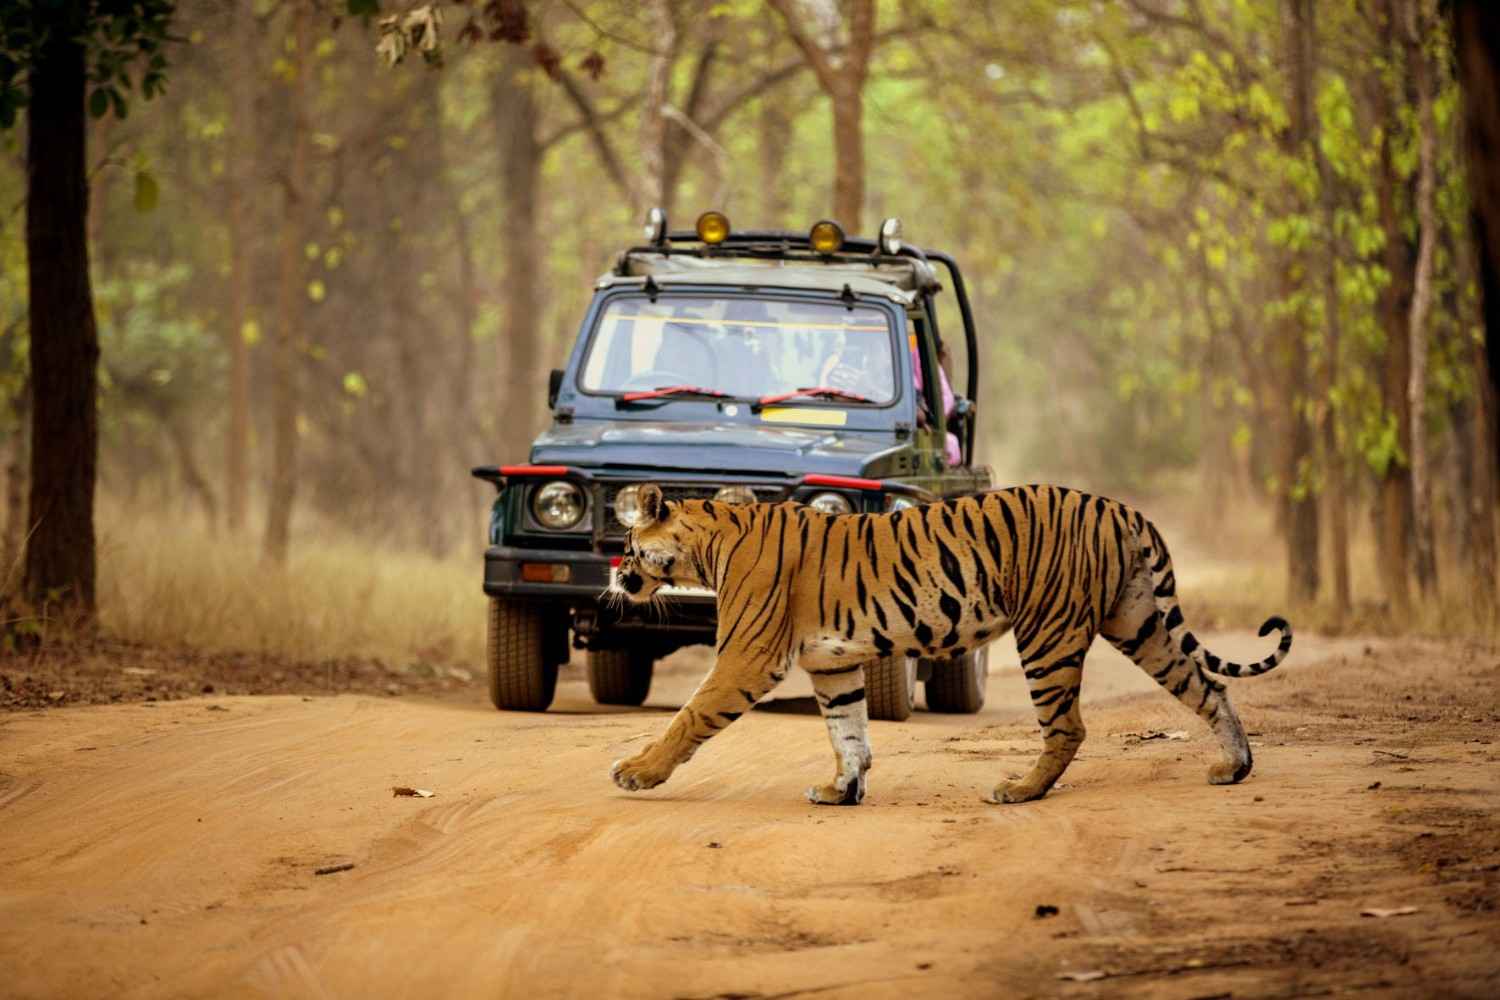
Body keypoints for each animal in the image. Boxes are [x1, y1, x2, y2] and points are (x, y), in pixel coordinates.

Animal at [610, 483, 1292, 806]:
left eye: (629, 546)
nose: (616, 576)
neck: (708, 546)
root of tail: (1117, 507)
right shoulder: (832, 666)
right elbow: (848, 733)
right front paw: (841, 792)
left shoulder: (747, 657)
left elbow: (689, 717)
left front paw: (636, 772)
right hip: (1139, 622)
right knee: (1207, 685)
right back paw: (1234, 768)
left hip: (1047, 632)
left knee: (1067, 726)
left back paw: (1019, 791)